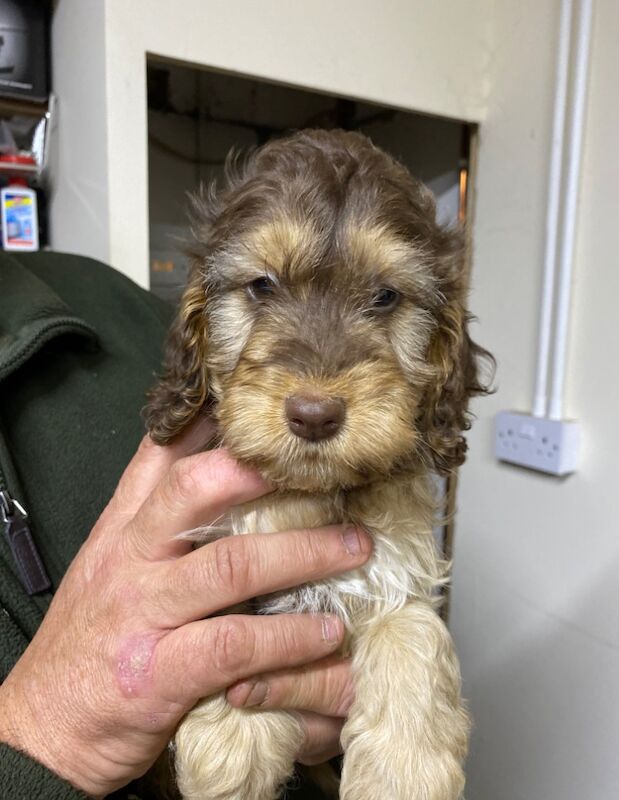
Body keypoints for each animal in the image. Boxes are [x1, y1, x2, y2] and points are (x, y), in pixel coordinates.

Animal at [147, 128, 494, 796]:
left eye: (385, 296)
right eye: (262, 286)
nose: (314, 414)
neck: (312, 493)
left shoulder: (398, 572)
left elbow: (414, 635)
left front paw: (404, 772)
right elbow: (232, 630)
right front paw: (231, 746)